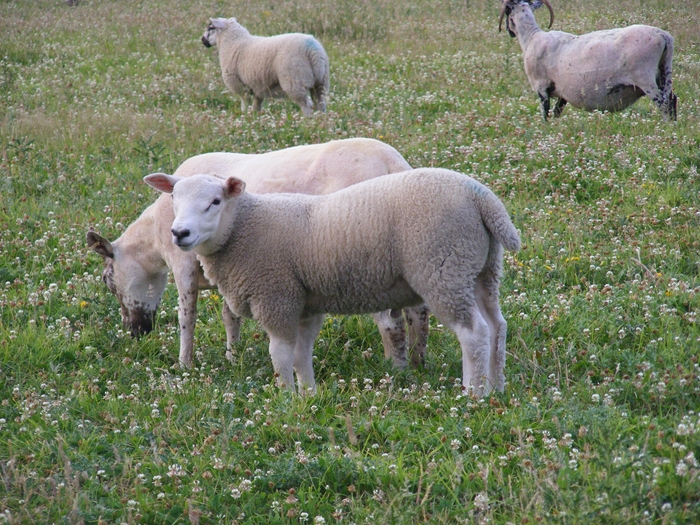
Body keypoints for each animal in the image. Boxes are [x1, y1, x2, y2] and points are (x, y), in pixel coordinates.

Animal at [87, 138, 429, 369]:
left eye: (107, 280)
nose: (135, 332)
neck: (155, 239)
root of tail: (392, 162)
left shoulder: (184, 264)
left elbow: (187, 317)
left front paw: (185, 364)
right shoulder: (229, 267)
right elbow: (230, 316)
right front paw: (232, 355)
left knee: (390, 322)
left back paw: (393, 369)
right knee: (419, 312)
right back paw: (418, 363)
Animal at [144, 168, 521, 397]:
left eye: (215, 201)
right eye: (173, 199)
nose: (179, 233)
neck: (242, 228)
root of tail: (481, 197)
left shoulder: (276, 296)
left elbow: (280, 354)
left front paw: (285, 397)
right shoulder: (305, 303)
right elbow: (301, 354)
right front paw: (308, 395)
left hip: (444, 268)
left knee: (474, 332)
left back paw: (474, 392)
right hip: (480, 269)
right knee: (496, 325)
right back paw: (497, 387)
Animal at [202, 17, 330, 116]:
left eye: (211, 28)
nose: (202, 40)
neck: (233, 42)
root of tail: (313, 50)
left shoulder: (240, 86)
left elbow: (245, 105)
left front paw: (244, 118)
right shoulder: (257, 88)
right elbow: (256, 107)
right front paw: (254, 119)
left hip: (295, 80)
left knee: (306, 104)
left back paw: (307, 122)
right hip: (320, 82)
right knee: (320, 103)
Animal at [499, 0, 677, 120]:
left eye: (507, 12)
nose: (509, 32)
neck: (531, 37)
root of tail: (663, 36)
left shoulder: (541, 88)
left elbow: (545, 116)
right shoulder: (562, 93)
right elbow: (556, 114)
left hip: (645, 78)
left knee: (663, 104)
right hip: (664, 72)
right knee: (672, 99)